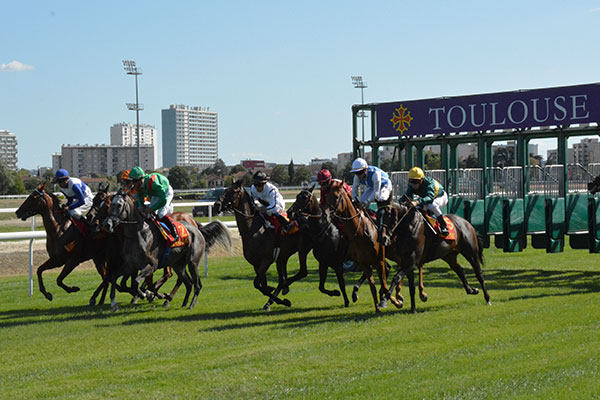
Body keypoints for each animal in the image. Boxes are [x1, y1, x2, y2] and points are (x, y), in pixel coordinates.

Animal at [102, 192, 231, 310]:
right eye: (110, 205)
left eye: (119, 205)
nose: (107, 224)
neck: (139, 234)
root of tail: (197, 229)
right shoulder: (131, 265)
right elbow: (115, 278)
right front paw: (114, 302)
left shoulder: (152, 265)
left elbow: (137, 283)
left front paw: (147, 294)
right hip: (178, 265)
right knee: (187, 283)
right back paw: (181, 302)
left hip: (193, 263)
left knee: (197, 284)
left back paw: (190, 305)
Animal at [212, 180, 314, 310]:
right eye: (225, 190)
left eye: (233, 191)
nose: (217, 205)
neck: (252, 229)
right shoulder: (256, 263)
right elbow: (262, 285)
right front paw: (274, 297)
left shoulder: (266, 260)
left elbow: (257, 283)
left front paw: (283, 301)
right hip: (282, 257)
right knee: (282, 280)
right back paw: (275, 297)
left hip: (302, 250)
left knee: (300, 273)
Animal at [324, 180, 390, 314]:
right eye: (327, 197)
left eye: (337, 197)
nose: (326, 215)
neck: (359, 232)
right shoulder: (361, 261)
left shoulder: (376, 259)